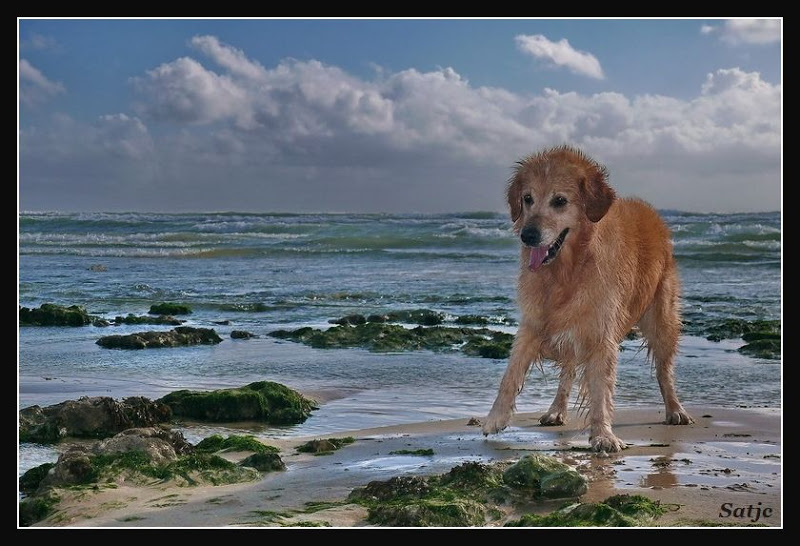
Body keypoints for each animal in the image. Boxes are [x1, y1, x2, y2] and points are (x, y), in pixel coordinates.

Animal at [482, 144, 692, 450]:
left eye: (560, 201)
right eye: (527, 198)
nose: (528, 235)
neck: (567, 270)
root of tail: (650, 211)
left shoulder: (601, 333)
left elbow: (601, 389)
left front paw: (603, 434)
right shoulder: (534, 323)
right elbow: (510, 374)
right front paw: (495, 418)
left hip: (661, 319)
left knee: (665, 370)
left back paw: (675, 409)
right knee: (567, 371)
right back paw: (556, 410)